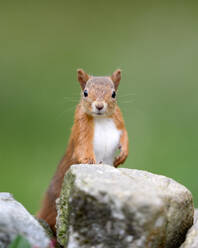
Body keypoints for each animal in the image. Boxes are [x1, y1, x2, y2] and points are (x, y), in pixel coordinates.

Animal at [37, 69, 128, 232]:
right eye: (85, 93)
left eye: (114, 94)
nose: (99, 106)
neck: (102, 119)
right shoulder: (81, 128)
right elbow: (82, 148)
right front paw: (92, 163)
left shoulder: (119, 121)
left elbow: (125, 135)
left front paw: (123, 154)